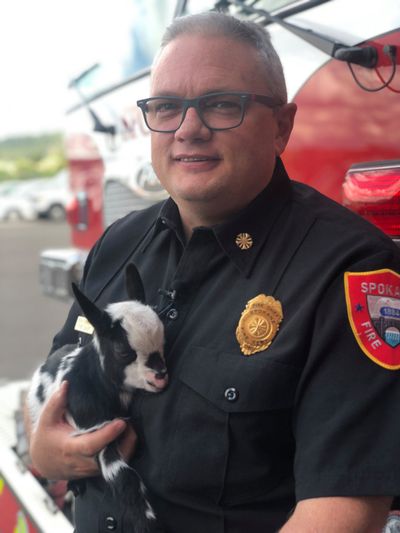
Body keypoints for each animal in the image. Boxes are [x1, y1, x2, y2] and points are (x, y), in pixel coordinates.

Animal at [27, 262, 167, 532]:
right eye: (123, 351)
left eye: (163, 341)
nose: (161, 376)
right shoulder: (97, 432)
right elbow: (125, 477)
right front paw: (147, 522)